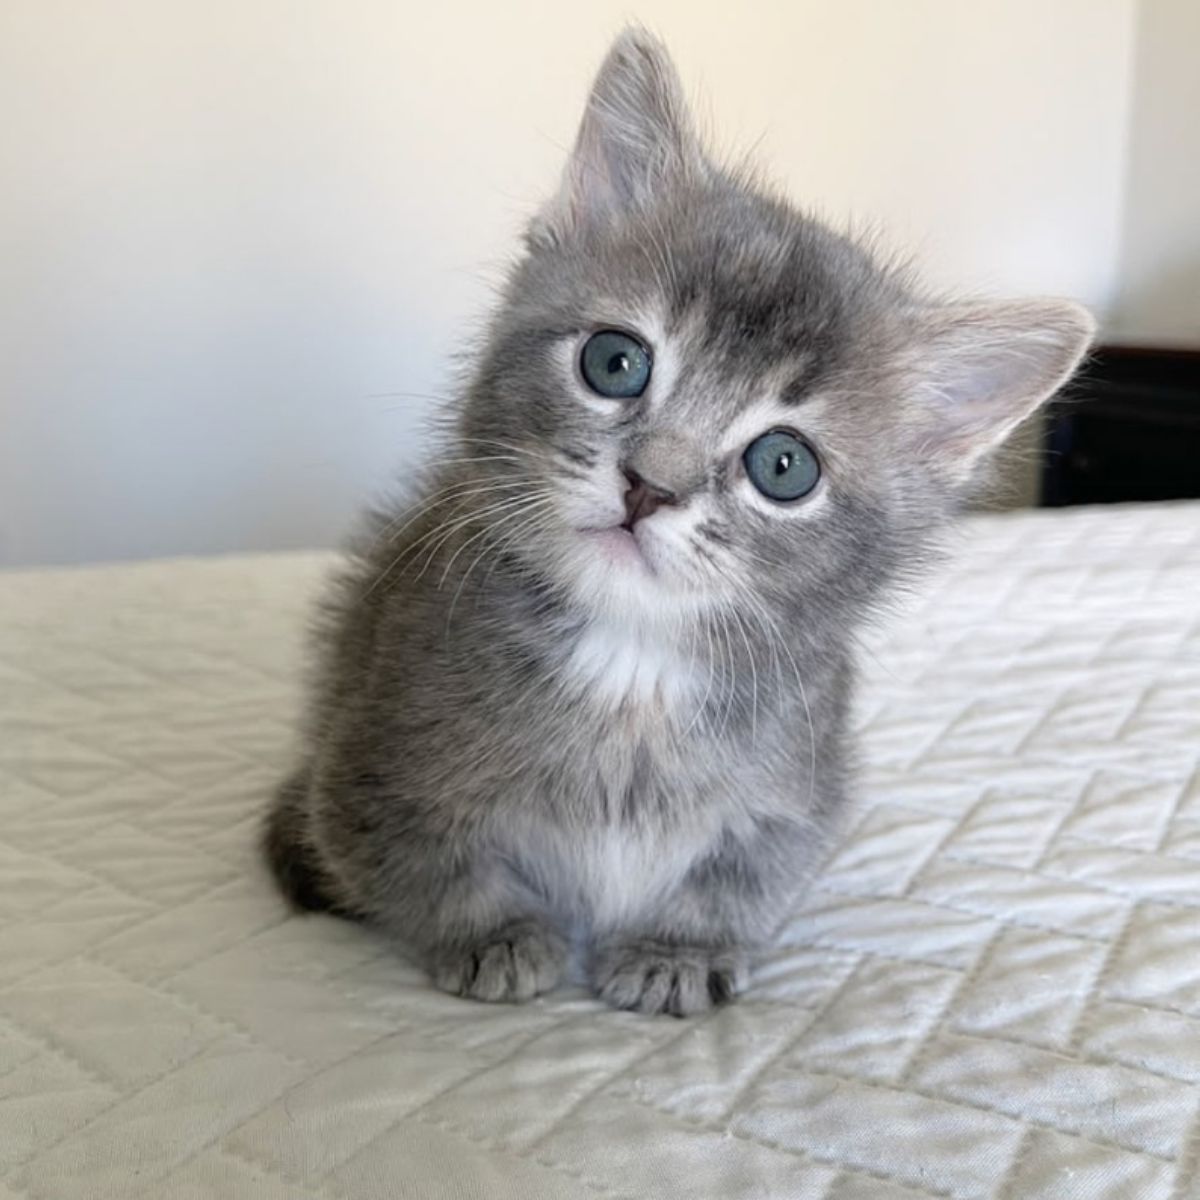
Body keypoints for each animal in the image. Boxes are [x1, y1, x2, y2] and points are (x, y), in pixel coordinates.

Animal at [265, 30, 1099, 1012]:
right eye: (615, 362)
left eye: (784, 466)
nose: (649, 486)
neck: (633, 668)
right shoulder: (370, 765)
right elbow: (421, 866)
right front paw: (494, 935)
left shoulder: (801, 790)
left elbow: (746, 875)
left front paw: (679, 949)